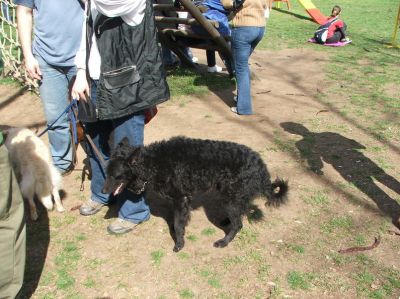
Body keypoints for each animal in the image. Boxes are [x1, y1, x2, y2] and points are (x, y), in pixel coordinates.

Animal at [103, 137, 288, 252]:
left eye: (115, 176)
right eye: (107, 172)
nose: (103, 192)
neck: (153, 162)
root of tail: (261, 166)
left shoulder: (181, 199)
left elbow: (178, 224)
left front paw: (179, 243)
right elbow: (176, 223)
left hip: (230, 198)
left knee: (238, 224)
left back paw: (224, 242)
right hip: (232, 195)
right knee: (240, 213)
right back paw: (226, 221)